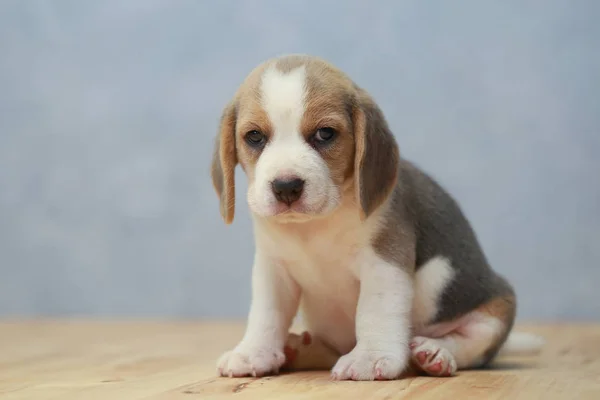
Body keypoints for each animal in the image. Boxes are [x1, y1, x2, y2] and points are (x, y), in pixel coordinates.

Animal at [211, 54, 544, 380]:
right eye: (254, 136)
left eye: (325, 134)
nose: (286, 187)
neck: (315, 227)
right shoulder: (273, 269)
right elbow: (266, 314)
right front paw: (253, 352)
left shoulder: (384, 263)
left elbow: (374, 311)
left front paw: (370, 357)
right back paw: (299, 348)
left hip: (495, 311)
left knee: (470, 348)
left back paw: (435, 353)